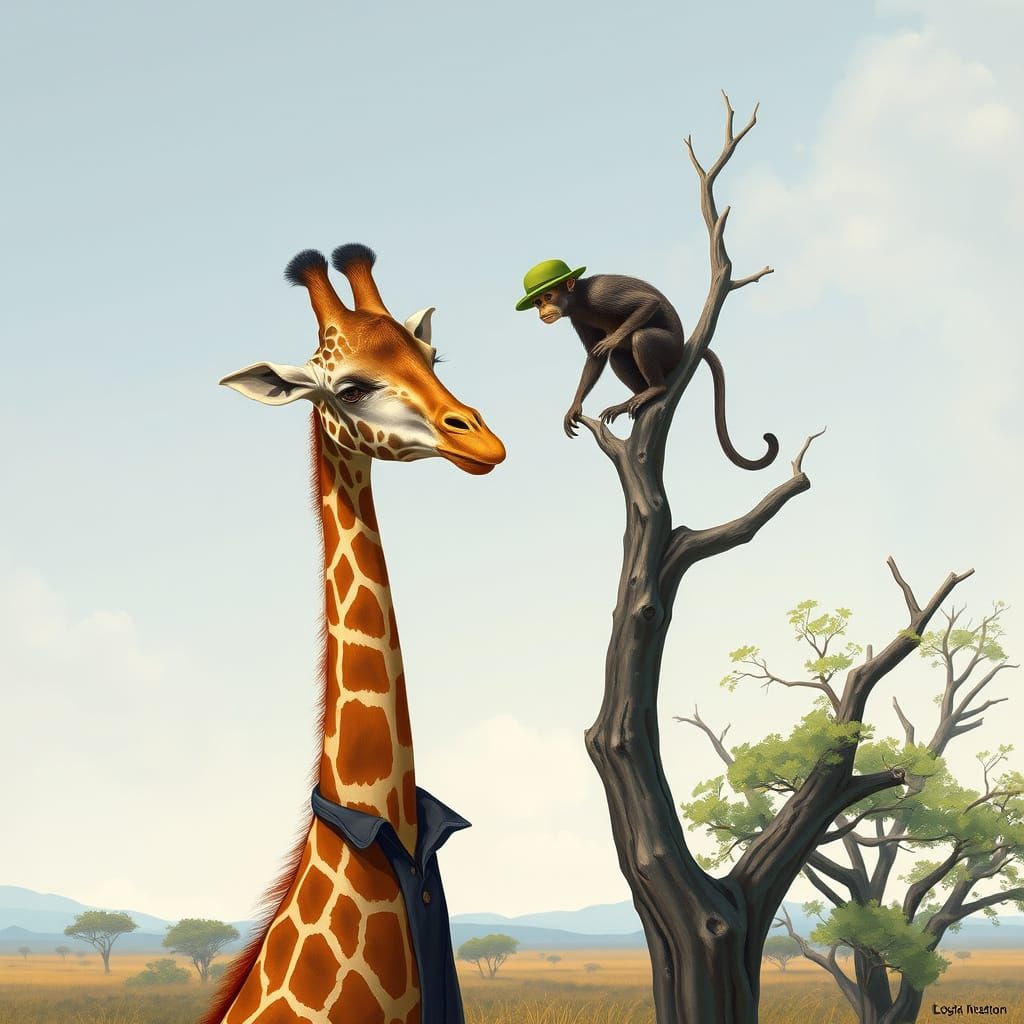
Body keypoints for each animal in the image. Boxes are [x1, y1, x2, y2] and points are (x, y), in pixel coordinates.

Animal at [515, 260, 778, 470]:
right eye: (537, 301)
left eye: (548, 297)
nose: (542, 310)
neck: (578, 298)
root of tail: (683, 347)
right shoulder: (577, 318)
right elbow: (595, 356)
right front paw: (574, 407)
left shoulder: (600, 294)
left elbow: (647, 304)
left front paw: (612, 338)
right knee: (618, 356)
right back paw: (635, 398)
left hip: (670, 350)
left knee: (640, 337)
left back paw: (654, 388)